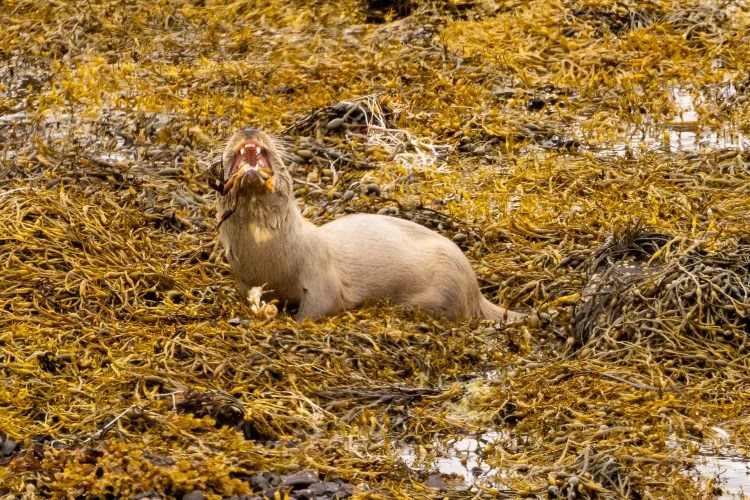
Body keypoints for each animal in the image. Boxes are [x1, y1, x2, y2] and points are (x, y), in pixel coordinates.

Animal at [211, 128, 523, 322]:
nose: (248, 130)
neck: (267, 256)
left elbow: (321, 307)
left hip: (448, 279)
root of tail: (476, 291)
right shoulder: (246, 283)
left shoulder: (319, 273)